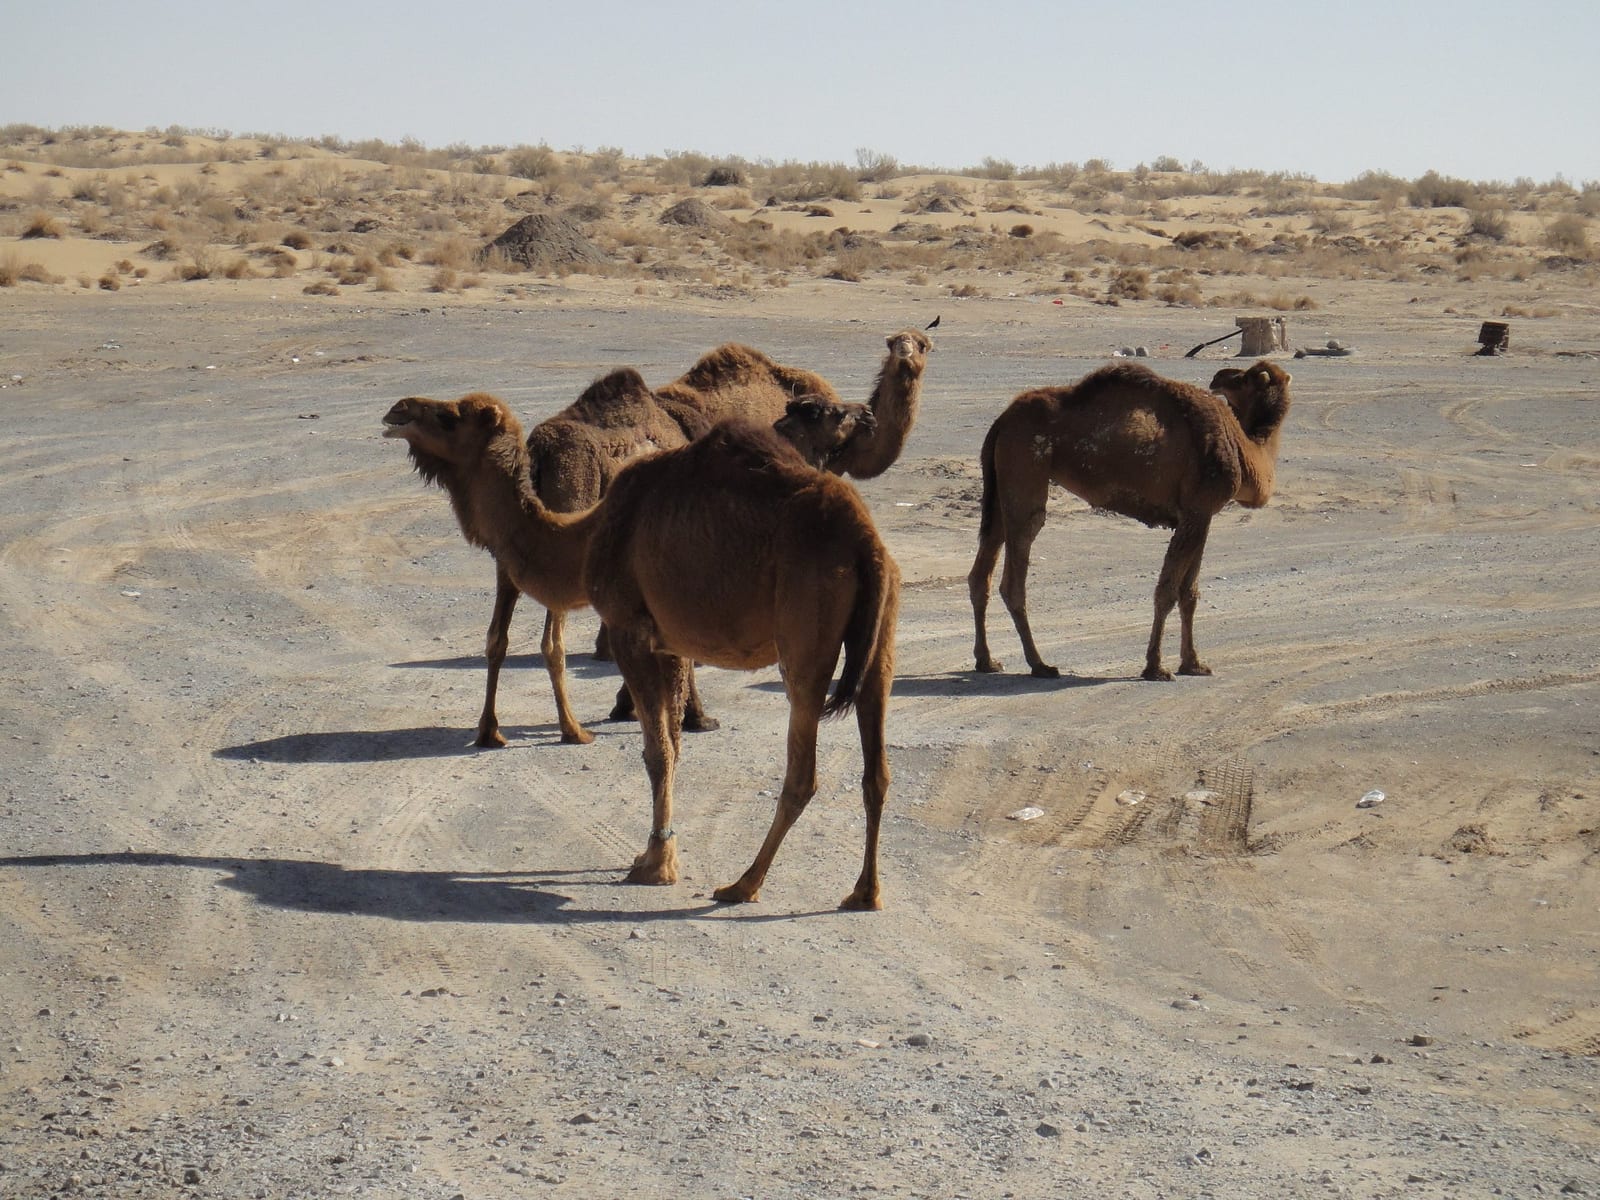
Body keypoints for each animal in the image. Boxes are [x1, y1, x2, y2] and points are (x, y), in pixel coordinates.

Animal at [584, 417, 900, 908]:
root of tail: (866, 541)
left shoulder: (628, 629)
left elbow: (657, 751)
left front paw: (655, 866)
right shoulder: (670, 642)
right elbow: (674, 746)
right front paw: (658, 856)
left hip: (805, 631)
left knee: (802, 771)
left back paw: (744, 884)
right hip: (880, 636)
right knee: (877, 769)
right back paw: (865, 894)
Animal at [968, 359, 1292, 681]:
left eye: (1245, 378)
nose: (1218, 376)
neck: (1243, 448)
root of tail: (1002, 421)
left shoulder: (1200, 515)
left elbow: (1189, 593)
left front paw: (1194, 663)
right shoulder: (1197, 510)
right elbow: (1167, 591)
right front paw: (1155, 667)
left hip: (1001, 484)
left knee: (982, 569)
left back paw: (987, 660)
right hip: (1025, 465)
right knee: (1016, 571)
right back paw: (1040, 664)